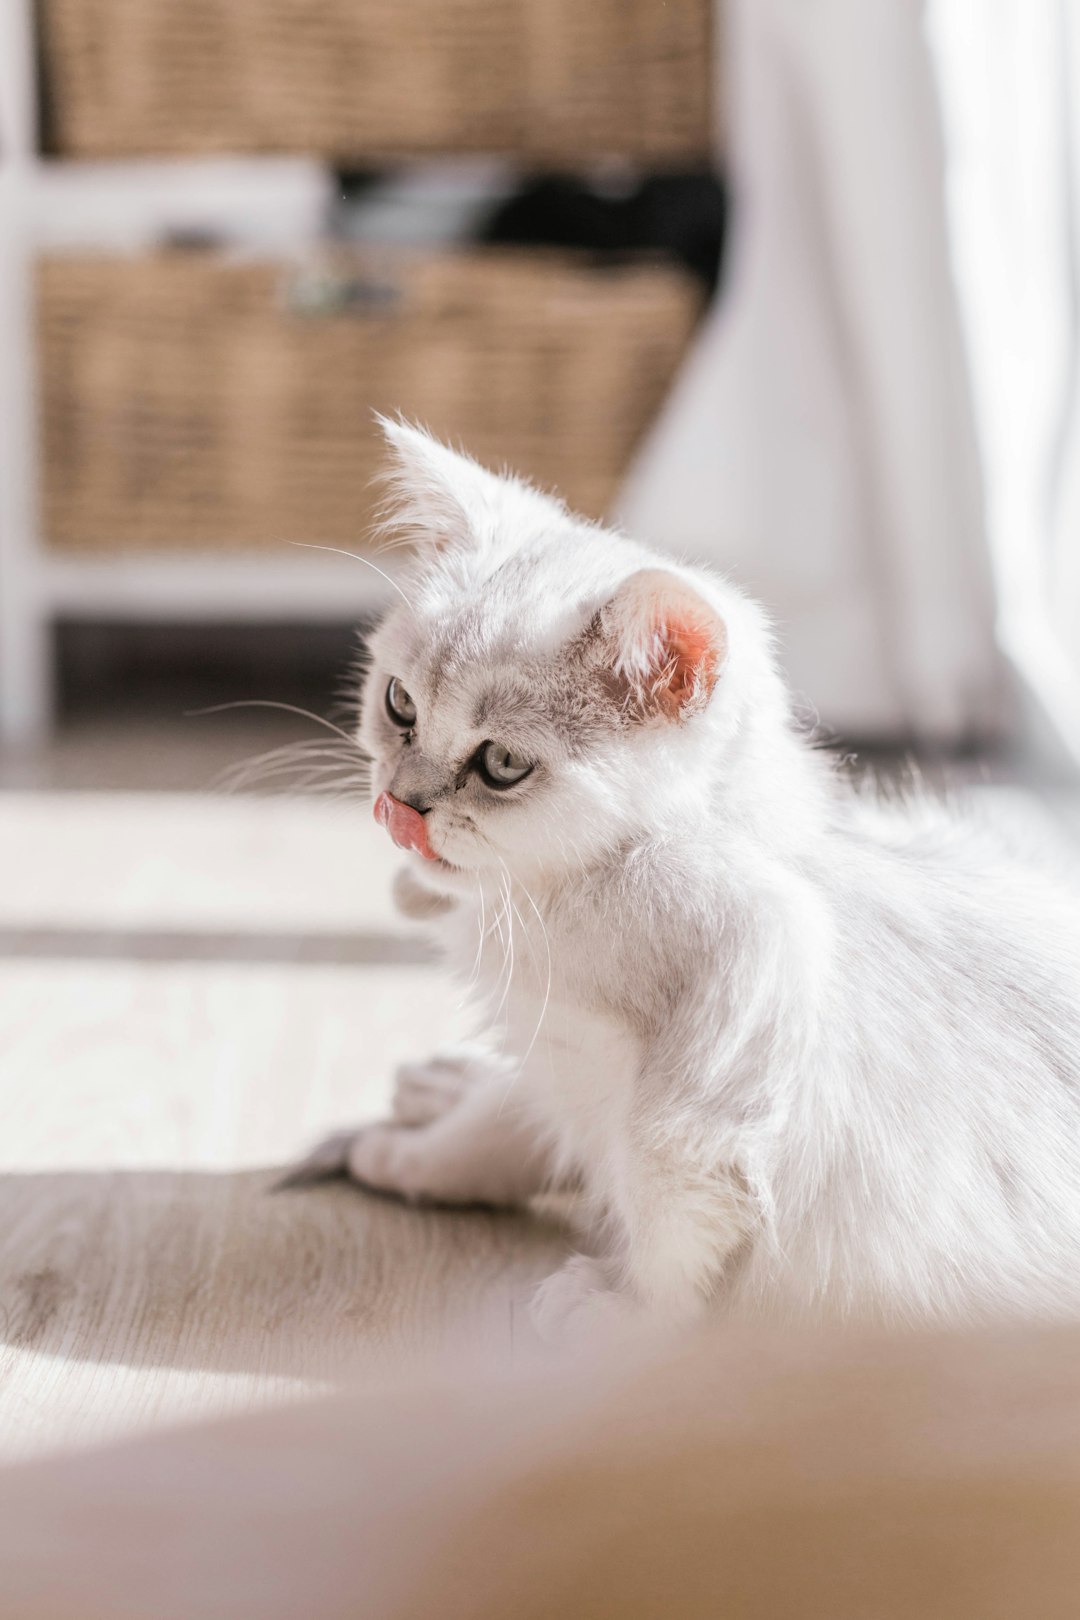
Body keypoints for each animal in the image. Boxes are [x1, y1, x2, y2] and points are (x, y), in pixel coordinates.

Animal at [330, 417, 1080, 1341]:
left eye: (501, 763)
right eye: (399, 706)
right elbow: (514, 1122)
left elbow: (670, 1178)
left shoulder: (755, 956)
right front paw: (421, 1155)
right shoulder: (559, 1045)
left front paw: (629, 1312)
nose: (400, 806)